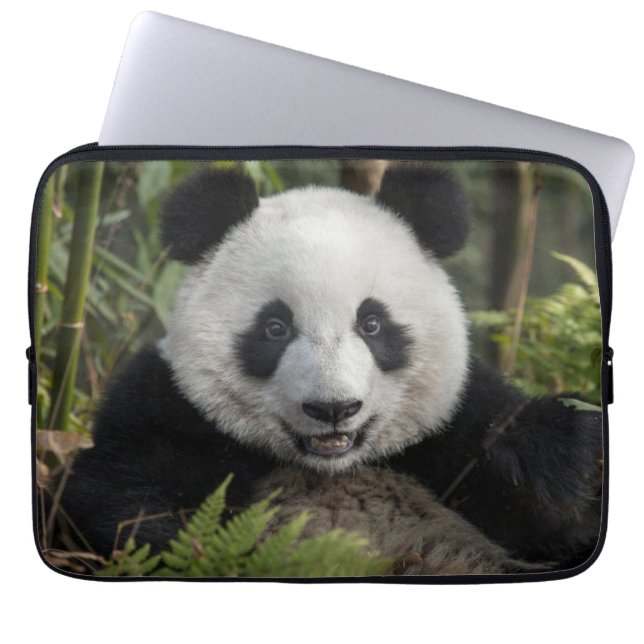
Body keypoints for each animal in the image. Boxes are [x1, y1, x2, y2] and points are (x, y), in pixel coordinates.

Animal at [59, 163, 602, 575]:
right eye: (275, 327)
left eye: (372, 323)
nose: (333, 408)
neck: (330, 467)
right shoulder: (168, 408)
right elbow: (124, 504)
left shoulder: (451, 421)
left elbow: (548, 502)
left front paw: (548, 458)